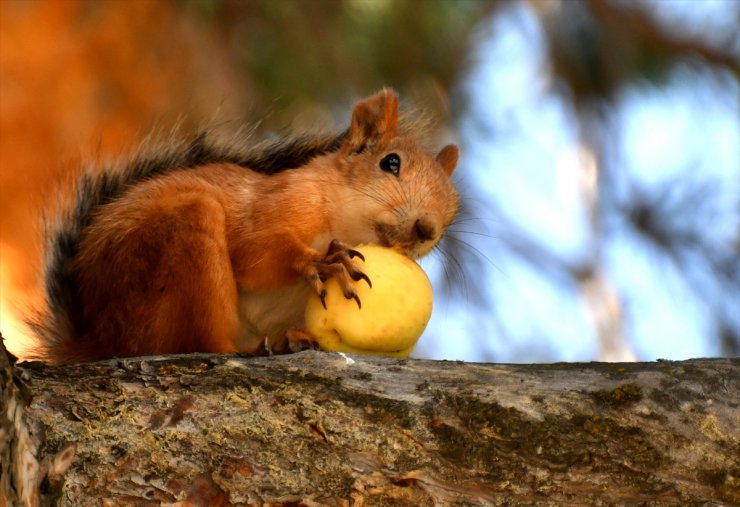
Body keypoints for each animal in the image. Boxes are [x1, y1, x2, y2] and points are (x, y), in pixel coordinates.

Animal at [28, 88, 460, 366]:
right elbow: (255, 250)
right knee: (200, 345)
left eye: (454, 207)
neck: (347, 224)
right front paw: (322, 261)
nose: (426, 229)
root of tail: (94, 338)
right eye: (391, 163)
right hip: (179, 242)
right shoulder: (280, 201)